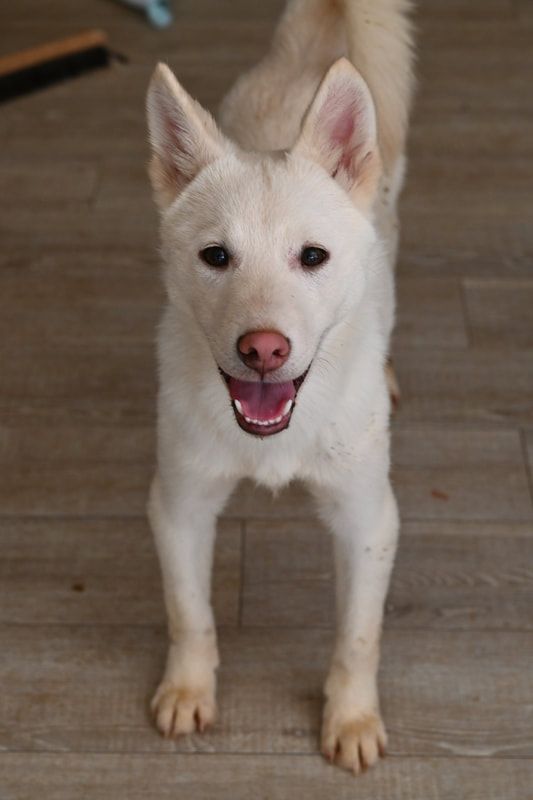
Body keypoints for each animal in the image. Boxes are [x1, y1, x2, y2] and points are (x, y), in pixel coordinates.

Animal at [147, 0, 416, 776]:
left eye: (312, 257)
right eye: (215, 256)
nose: (262, 350)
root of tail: (318, 45)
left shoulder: (367, 520)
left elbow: (357, 637)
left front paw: (350, 720)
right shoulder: (179, 505)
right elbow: (190, 613)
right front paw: (188, 690)